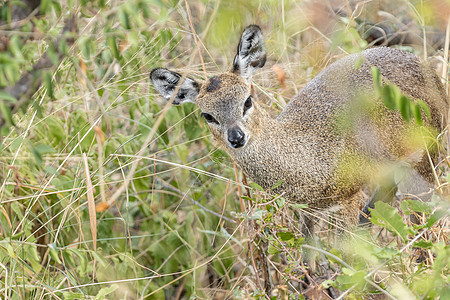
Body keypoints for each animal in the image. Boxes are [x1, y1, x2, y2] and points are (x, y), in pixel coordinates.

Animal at [150, 25, 446, 234]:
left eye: (247, 100)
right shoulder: (309, 210)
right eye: (207, 115)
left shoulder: (348, 197)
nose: (236, 137)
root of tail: (429, 72)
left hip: (426, 158)